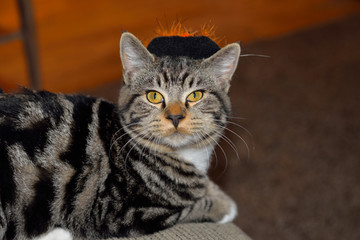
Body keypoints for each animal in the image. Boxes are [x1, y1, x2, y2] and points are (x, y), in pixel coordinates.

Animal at [0, 32, 242, 240]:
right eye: (154, 96)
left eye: (196, 95)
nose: (175, 116)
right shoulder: (117, 214)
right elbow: (189, 208)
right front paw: (222, 206)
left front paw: (216, 192)